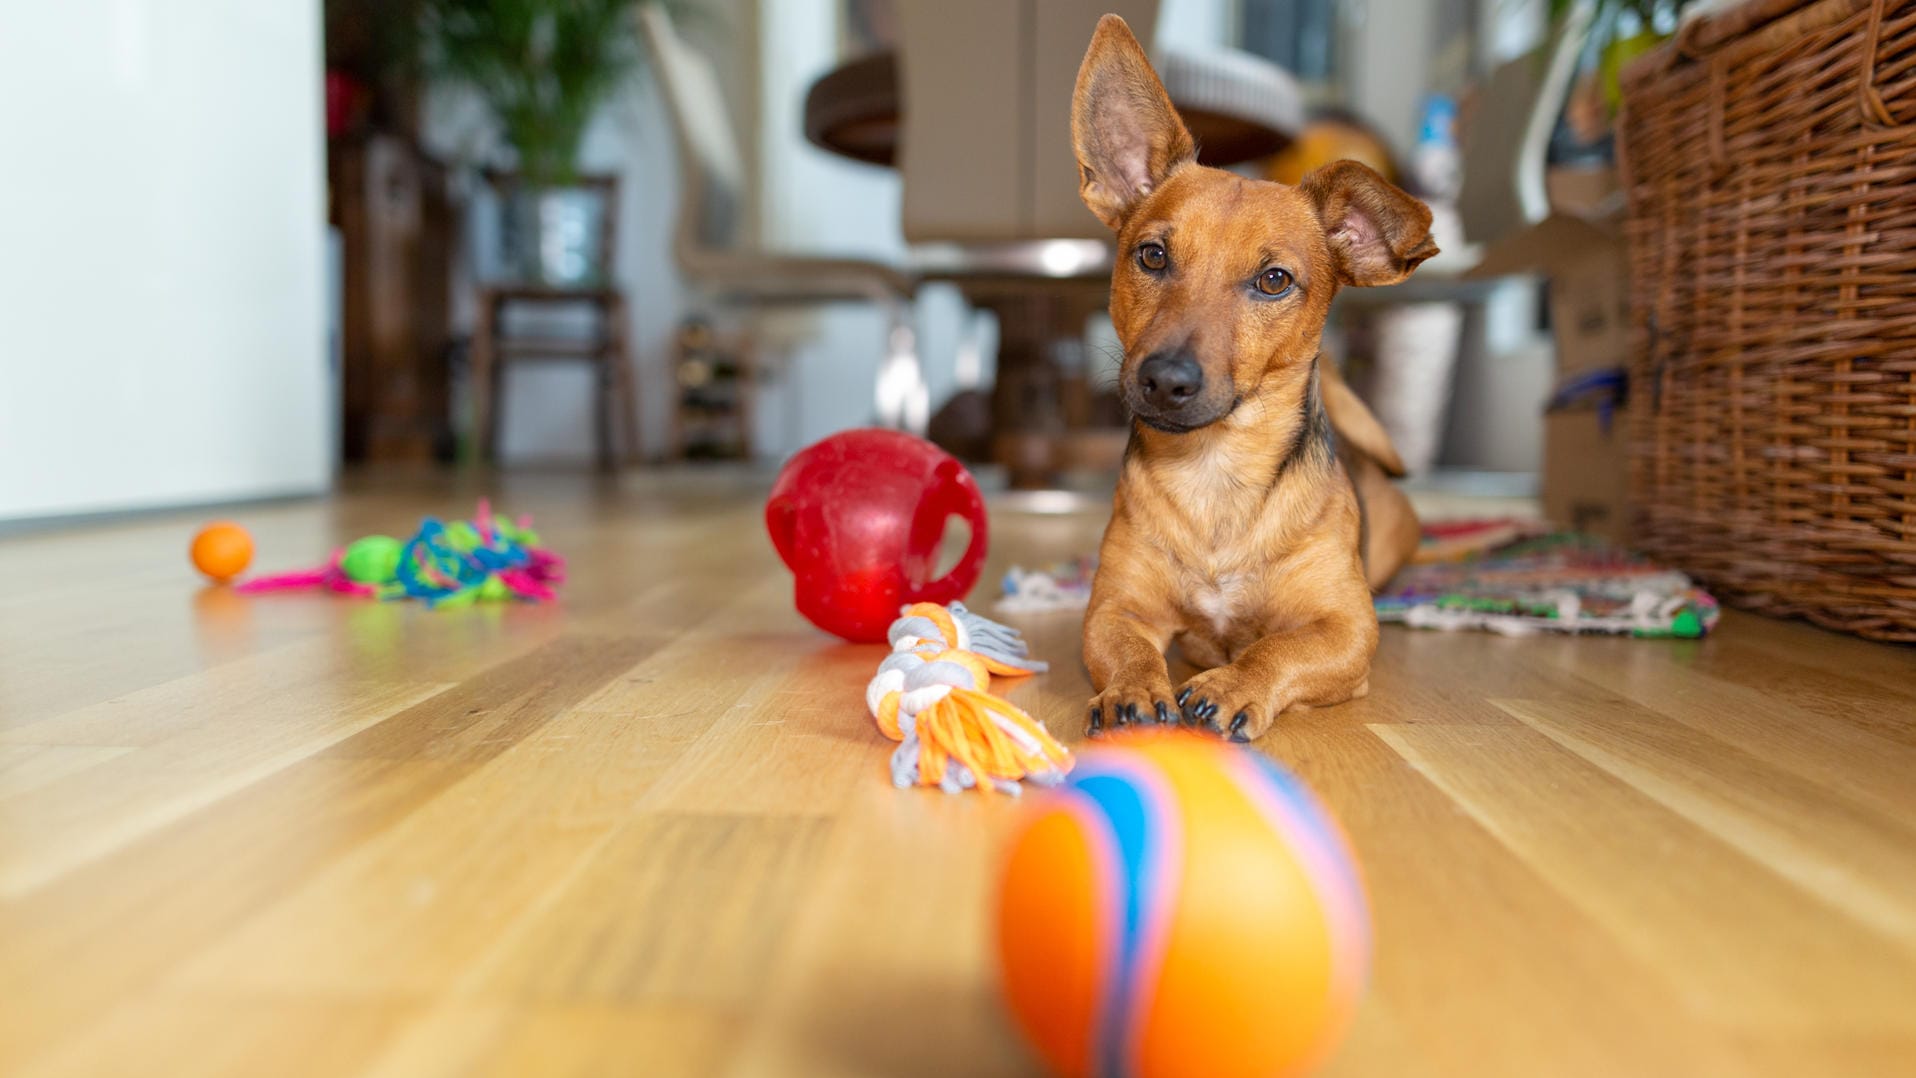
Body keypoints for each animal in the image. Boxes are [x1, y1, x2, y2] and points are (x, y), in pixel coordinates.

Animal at [1072, 14, 1433, 742]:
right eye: (1151, 255)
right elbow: (1127, 650)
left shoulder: (1347, 630)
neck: (1217, 475)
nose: (1165, 380)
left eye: (1273, 280)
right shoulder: (1114, 608)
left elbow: (1278, 649)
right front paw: (1133, 690)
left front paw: (1233, 684)